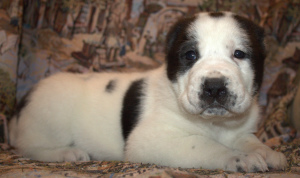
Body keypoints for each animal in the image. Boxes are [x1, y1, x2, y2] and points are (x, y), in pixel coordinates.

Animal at [8, 11, 286, 172]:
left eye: (239, 54)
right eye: (190, 55)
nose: (214, 86)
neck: (216, 125)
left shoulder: (240, 131)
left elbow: (249, 141)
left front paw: (267, 153)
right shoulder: (153, 140)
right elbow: (205, 145)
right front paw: (240, 159)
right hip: (51, 118)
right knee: (30, 148)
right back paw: (68, 152)